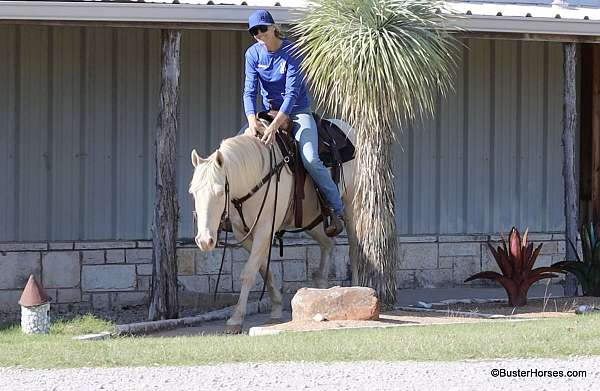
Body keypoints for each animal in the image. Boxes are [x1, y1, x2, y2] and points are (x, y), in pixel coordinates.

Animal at [188, 120, 356, 334]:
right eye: (193, 192)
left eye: (219, 192)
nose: (204, 241)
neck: (254, 178)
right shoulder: (243, 233)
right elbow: (263, 270)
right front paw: (276, 308)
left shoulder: (264, 229)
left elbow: (248, 273)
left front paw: (235, 319)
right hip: (311, 220)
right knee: (327, 243)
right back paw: (321, 288)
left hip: (353, 206)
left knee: (354, 249)